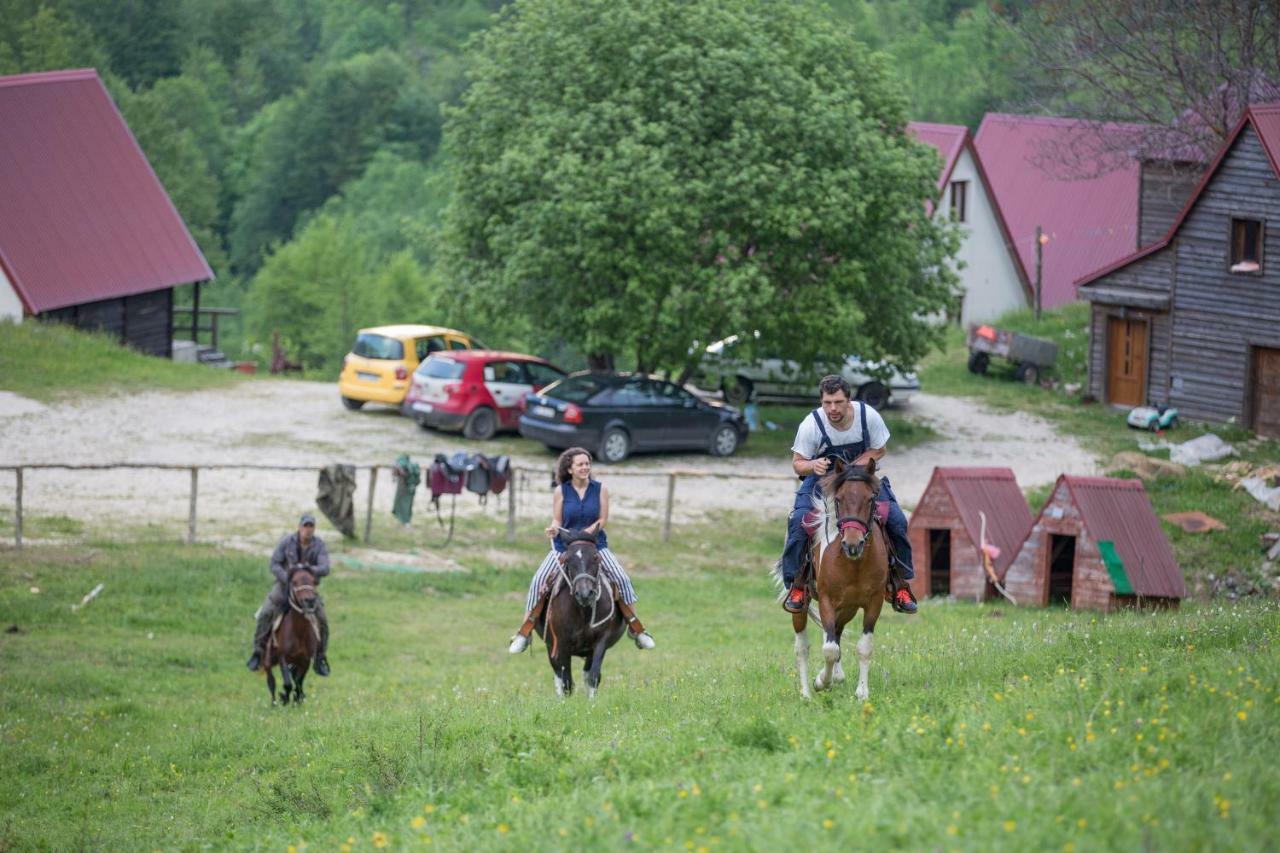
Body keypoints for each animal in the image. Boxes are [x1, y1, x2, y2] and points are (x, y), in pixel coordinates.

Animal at [261, 568, 318, 701]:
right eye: (295, 582)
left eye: (313, 581)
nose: (309, 601)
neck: (299, 633)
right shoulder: (282, 657)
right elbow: (287, 683)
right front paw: (284, 698)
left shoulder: (305, 660)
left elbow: (298, 681)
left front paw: (298, 698)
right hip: (268, 660)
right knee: (271, 681)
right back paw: (274, 702)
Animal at [535, 525, 624, 696]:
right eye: (567, 559)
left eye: (596, 557)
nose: (585, 593)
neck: (583, 611)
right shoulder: (561, 643)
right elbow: (567, 682)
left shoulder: (601, 641)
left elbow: (594, 676)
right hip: (550, 645)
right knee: (558, 674)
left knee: (586, 673)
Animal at [783, 458, 885, 696]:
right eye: (838, 499)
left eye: (871, 499)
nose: (852, 544)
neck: (853, 564)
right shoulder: (827, 600)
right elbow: (829, 649)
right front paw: (822, 682)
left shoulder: (874, 602)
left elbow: (863, 647)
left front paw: (862, 692)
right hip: (801, 607)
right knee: (803, 647)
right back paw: (805, 694)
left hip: (848, 608)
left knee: (835, 632)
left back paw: (836, 675)